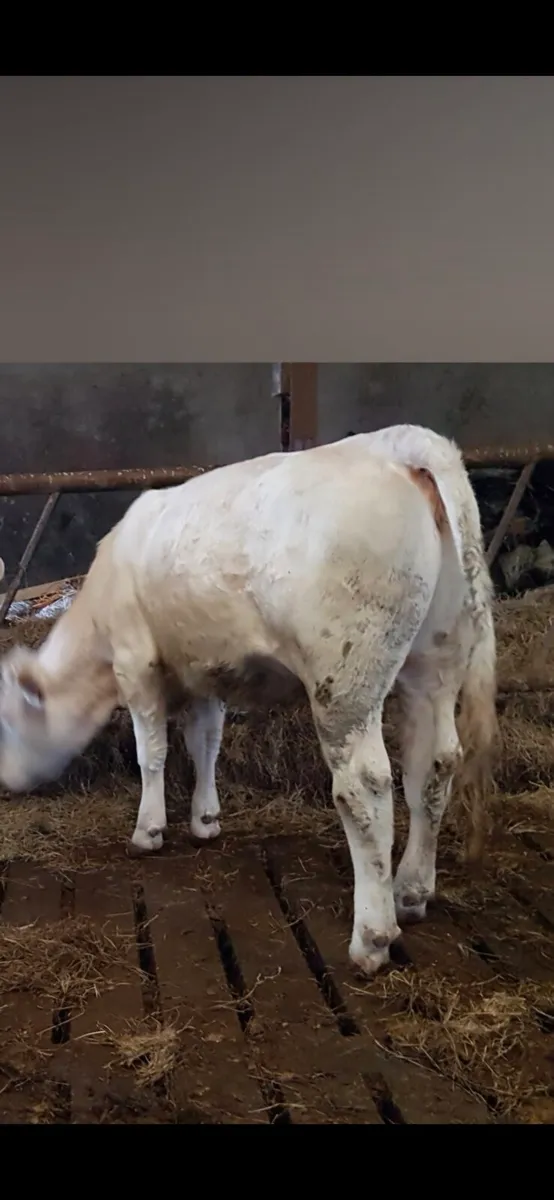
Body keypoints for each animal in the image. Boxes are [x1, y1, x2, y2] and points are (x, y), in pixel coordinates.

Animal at [0, 425, 497, 978]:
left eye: (6, 722)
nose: (5, 781)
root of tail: (398, 443)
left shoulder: (136, 664)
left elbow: (152, 753)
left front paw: (149, 830)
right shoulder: (205, 672)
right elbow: (205, 743)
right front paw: (205, 820)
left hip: (346, 681)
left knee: (364, 787)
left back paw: (372, 936)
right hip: (436, 660)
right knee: (433, 765)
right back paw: (411, 890)